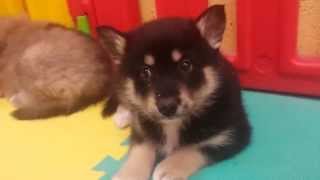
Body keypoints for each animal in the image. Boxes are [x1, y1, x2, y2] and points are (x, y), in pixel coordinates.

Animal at [99, 5, 251, 180]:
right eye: (145, 72)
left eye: (185, 65)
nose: (167, 106)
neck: (173, 124)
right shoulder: (141, 131)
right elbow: (142, 148)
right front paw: (130, 174)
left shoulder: (231, 134)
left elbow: (193, 148)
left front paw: (169, 167)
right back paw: (123, 115)